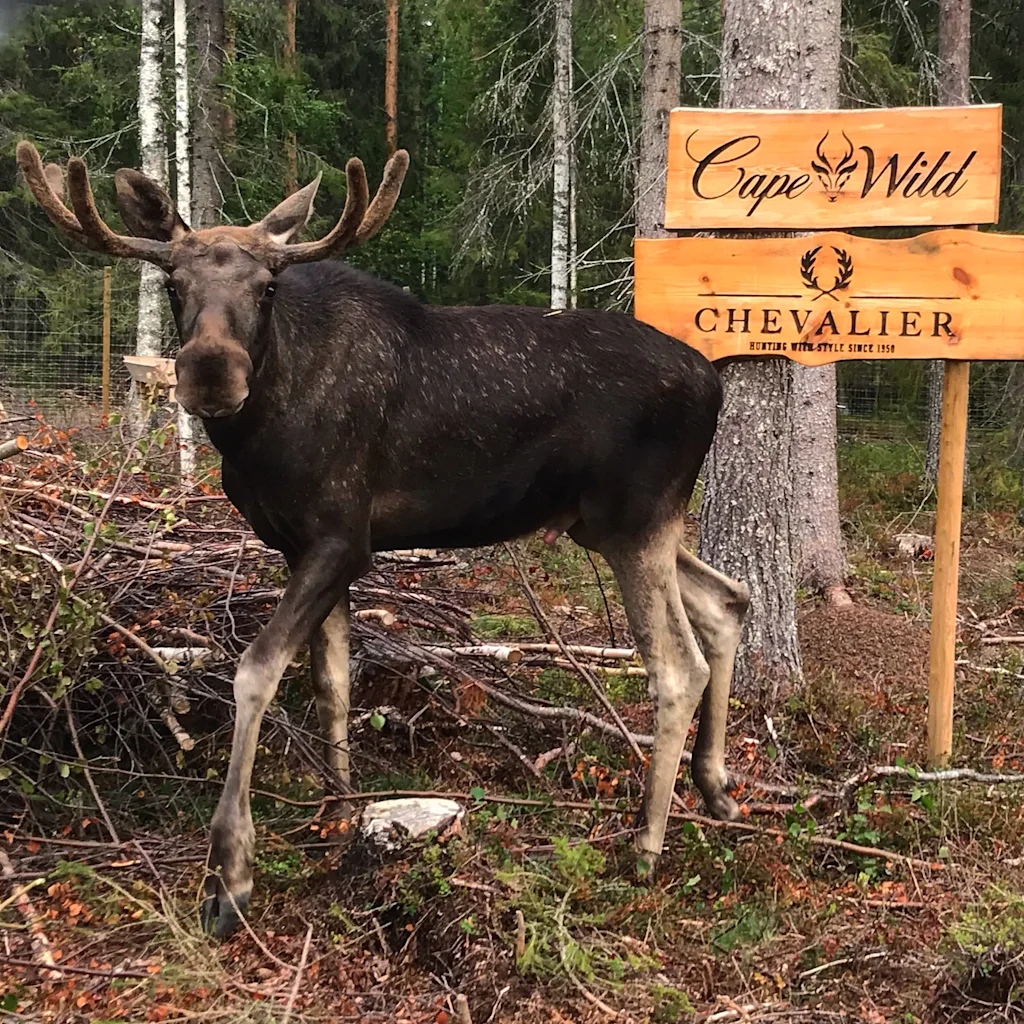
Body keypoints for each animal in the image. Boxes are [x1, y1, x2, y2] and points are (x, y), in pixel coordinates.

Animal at [16, 139, 750, 937]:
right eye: (173, 284)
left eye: (267, 287)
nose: (211, 373)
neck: (261, 431)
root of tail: (714, 383)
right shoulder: (303, 545)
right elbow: (331, 681)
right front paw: (336, 809)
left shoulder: (342, 536)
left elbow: (257, 671)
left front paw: (230, 875)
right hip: (616, 524)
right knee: (729, 600)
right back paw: (716, 787)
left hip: (632, 519)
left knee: (678, 666)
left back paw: (646, 843)